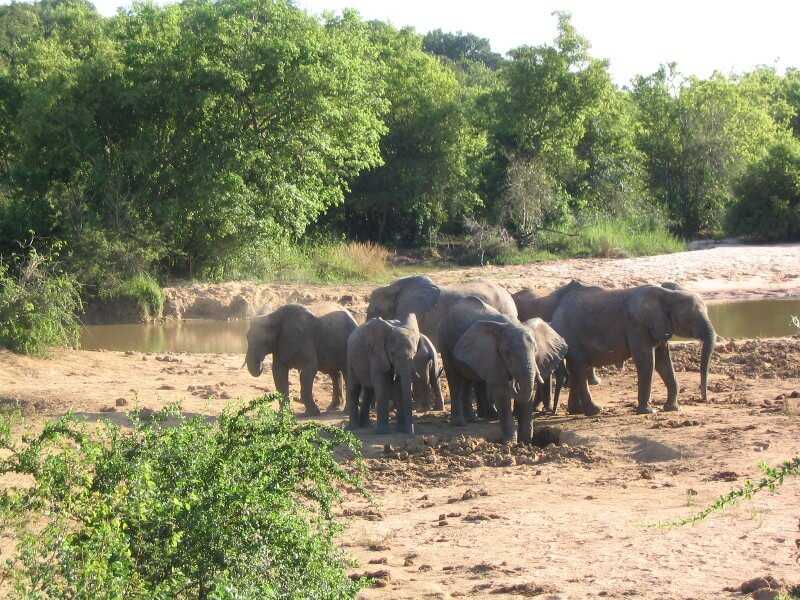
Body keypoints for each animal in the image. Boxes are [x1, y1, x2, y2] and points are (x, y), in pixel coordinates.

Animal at [438, 296, 568, 440]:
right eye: (507, 353)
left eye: (536, 350)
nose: (514, 383)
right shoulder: (493, 357)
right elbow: (502, 391)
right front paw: (510, 441)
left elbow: (528, 391)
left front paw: (525, 440)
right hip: (444, 341)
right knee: (454, 379)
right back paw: (460, 423)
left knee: (468, 379)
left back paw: (472, 419)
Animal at [552, 282, 720, 414]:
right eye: (690, 319)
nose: (704, 399)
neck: (668, 295)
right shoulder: (637, 325)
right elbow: (647, 361)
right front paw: (648, 411)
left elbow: (663, 362)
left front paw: (672, 409)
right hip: (571, 337)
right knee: (580, 368)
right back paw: (595, 411)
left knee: (575, 370)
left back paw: (577, 411)